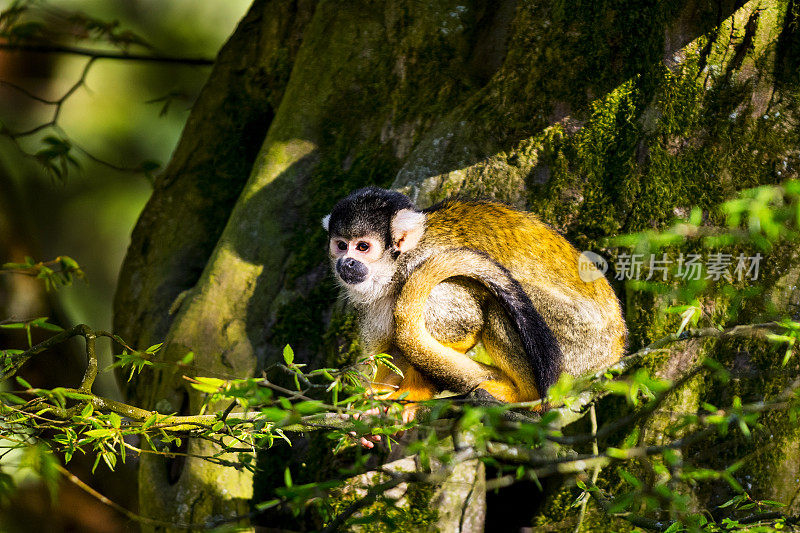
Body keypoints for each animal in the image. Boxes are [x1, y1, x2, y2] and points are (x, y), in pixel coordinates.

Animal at [322, 187, 620, 416]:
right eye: (341, 245)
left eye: (363, 247)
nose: (347, 263)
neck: (395, 270)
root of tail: (615, 354)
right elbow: (391, 351)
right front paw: (369, 406)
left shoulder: (427, 264)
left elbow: (463, 327)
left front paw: (414, 395)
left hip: (578, 347)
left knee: (498, 304)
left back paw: (526, 398)